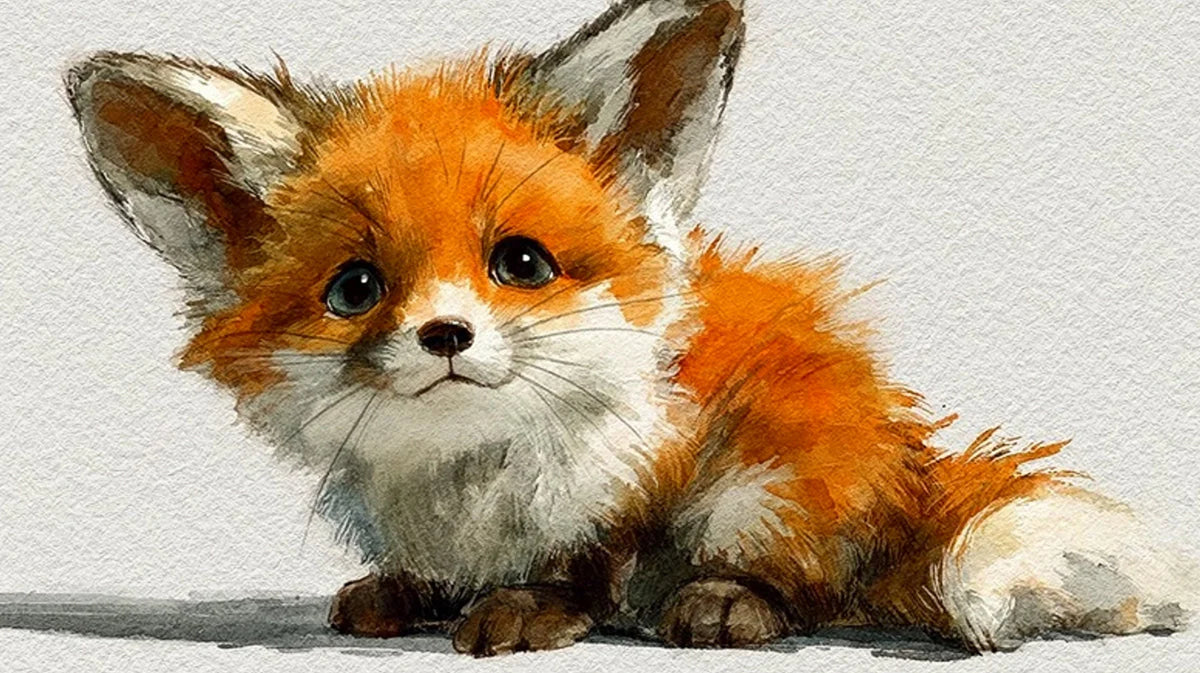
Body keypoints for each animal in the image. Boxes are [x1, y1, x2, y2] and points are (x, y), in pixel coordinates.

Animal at [65, 0, 1194, 657]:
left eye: (521, 263)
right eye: (355, 288)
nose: (444, 335)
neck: (470, 471)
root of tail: (909, 461)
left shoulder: (646, 466)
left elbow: (592, 558)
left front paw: (534, 609)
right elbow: (429, 571)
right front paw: (414, 591)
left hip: (775, 478)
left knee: (812, 584)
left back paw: (723, 604)